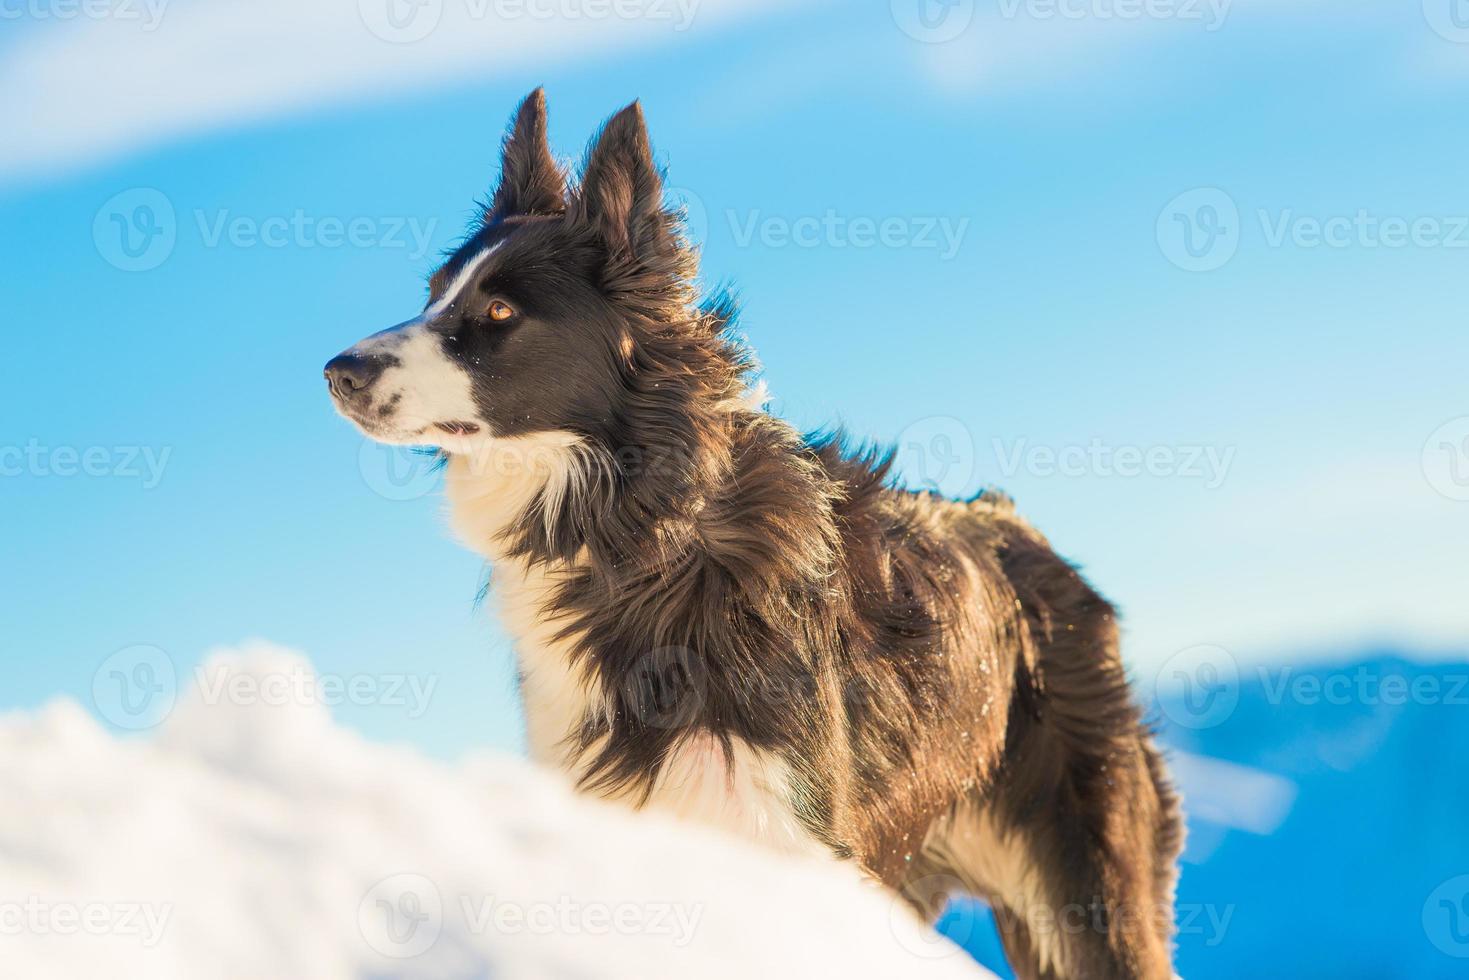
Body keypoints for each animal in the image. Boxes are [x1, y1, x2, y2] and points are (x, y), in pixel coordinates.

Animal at [327, 91, 1186, 980]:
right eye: (433, 295)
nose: (337, 373)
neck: (638, 537)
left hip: (1093, 893)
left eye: (498, 312)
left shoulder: (781, 829)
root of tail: (1023, 530)